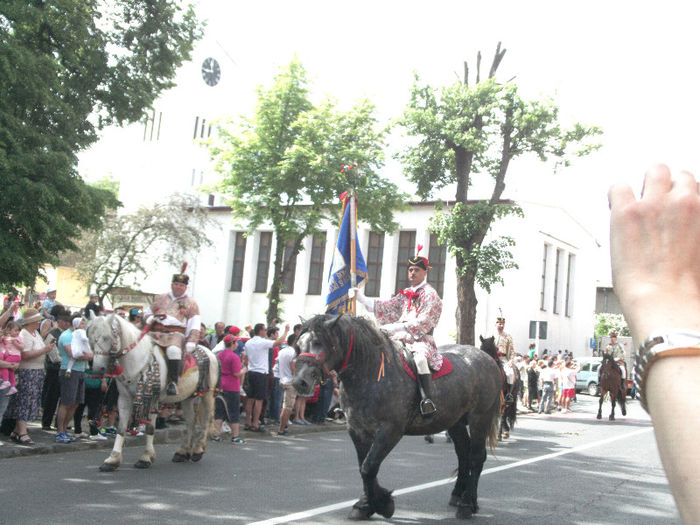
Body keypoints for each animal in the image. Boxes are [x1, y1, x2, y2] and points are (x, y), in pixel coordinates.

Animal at [88, 312, 219, 470]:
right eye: (90, 338)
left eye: (107, 337)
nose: (98, 369)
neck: (137, 358)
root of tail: (210, 352)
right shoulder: (125, 398)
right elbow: (121, 428)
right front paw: (112, 460)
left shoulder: (151, 398)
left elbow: (150, 428)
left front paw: (145, 457)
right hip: (187, 397)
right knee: (190, 421)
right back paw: (182, 452)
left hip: (207, 394)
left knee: (207, 419)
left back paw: (198, 450)